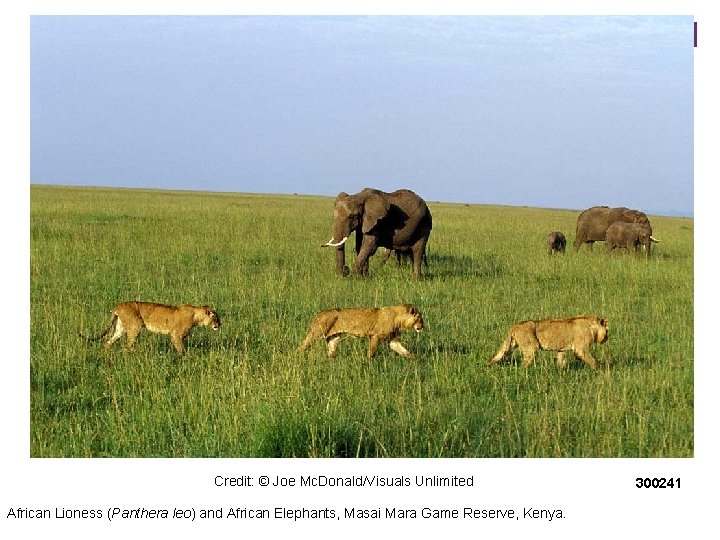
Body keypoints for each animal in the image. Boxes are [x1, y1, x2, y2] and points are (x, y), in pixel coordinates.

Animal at [80, 301, 221, 354]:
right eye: (216, 318)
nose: (220, 325)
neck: (196, 316)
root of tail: (118, 305)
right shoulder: (175, 335)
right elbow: (182, 349)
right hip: (136, 326)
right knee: (127, 345)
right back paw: (137, 353)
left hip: (120, 328)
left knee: (108, 341)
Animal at [296, 304, 424, 359]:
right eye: (419, 318)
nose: (423, 327)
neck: (398, 319)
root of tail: (318, 314)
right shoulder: (375, 336)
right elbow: (371, 353)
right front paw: (369, 365)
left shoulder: (392, 340)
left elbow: (405, 352)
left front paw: (418, 361)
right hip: (316, 334)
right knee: (300, 347)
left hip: (334, 338)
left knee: (330, 353)